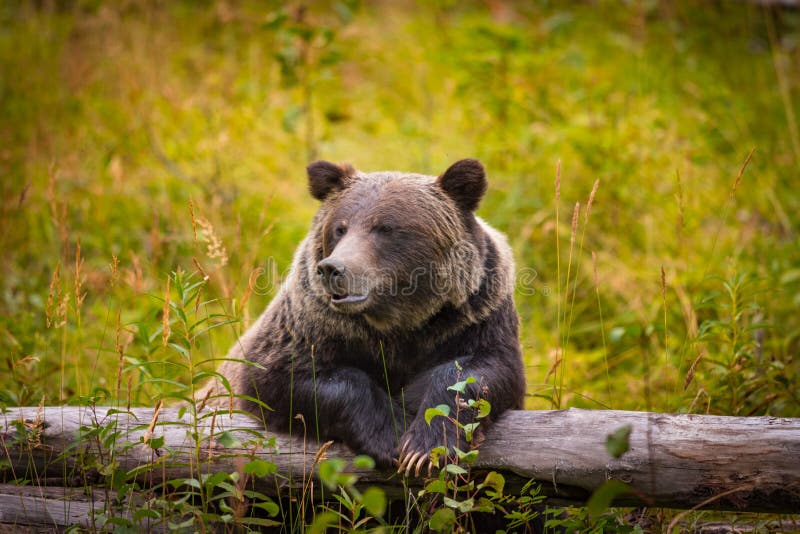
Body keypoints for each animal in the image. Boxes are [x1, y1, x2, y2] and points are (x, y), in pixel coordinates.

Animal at [200, 160, 524, 478]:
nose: (332, 268)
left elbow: (482, 370)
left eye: (385, 228)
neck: (399, 323)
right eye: (340, 228)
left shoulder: (473, 319)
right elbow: (284, 375)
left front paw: (424, 446)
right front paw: (391, 436)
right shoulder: (311, 327)